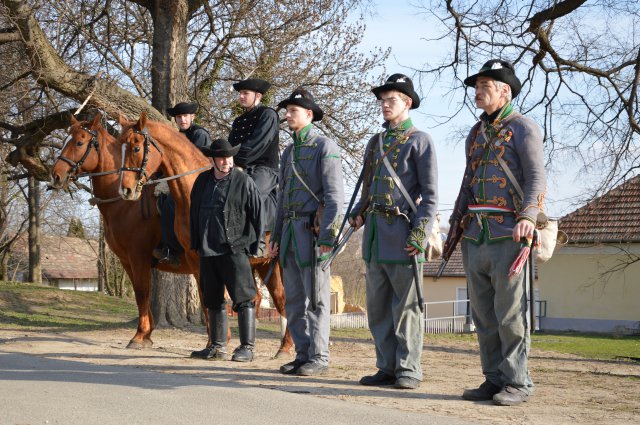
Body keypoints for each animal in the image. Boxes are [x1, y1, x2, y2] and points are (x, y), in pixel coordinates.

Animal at [117, 111, 292, 356]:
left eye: (135, 148)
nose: (125, 190)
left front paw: (220, 343)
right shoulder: (195, 258)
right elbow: (206, 297)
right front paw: (212, 344)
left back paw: (285, 347)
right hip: (267, 264)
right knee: (278, 299)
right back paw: (283, 347)